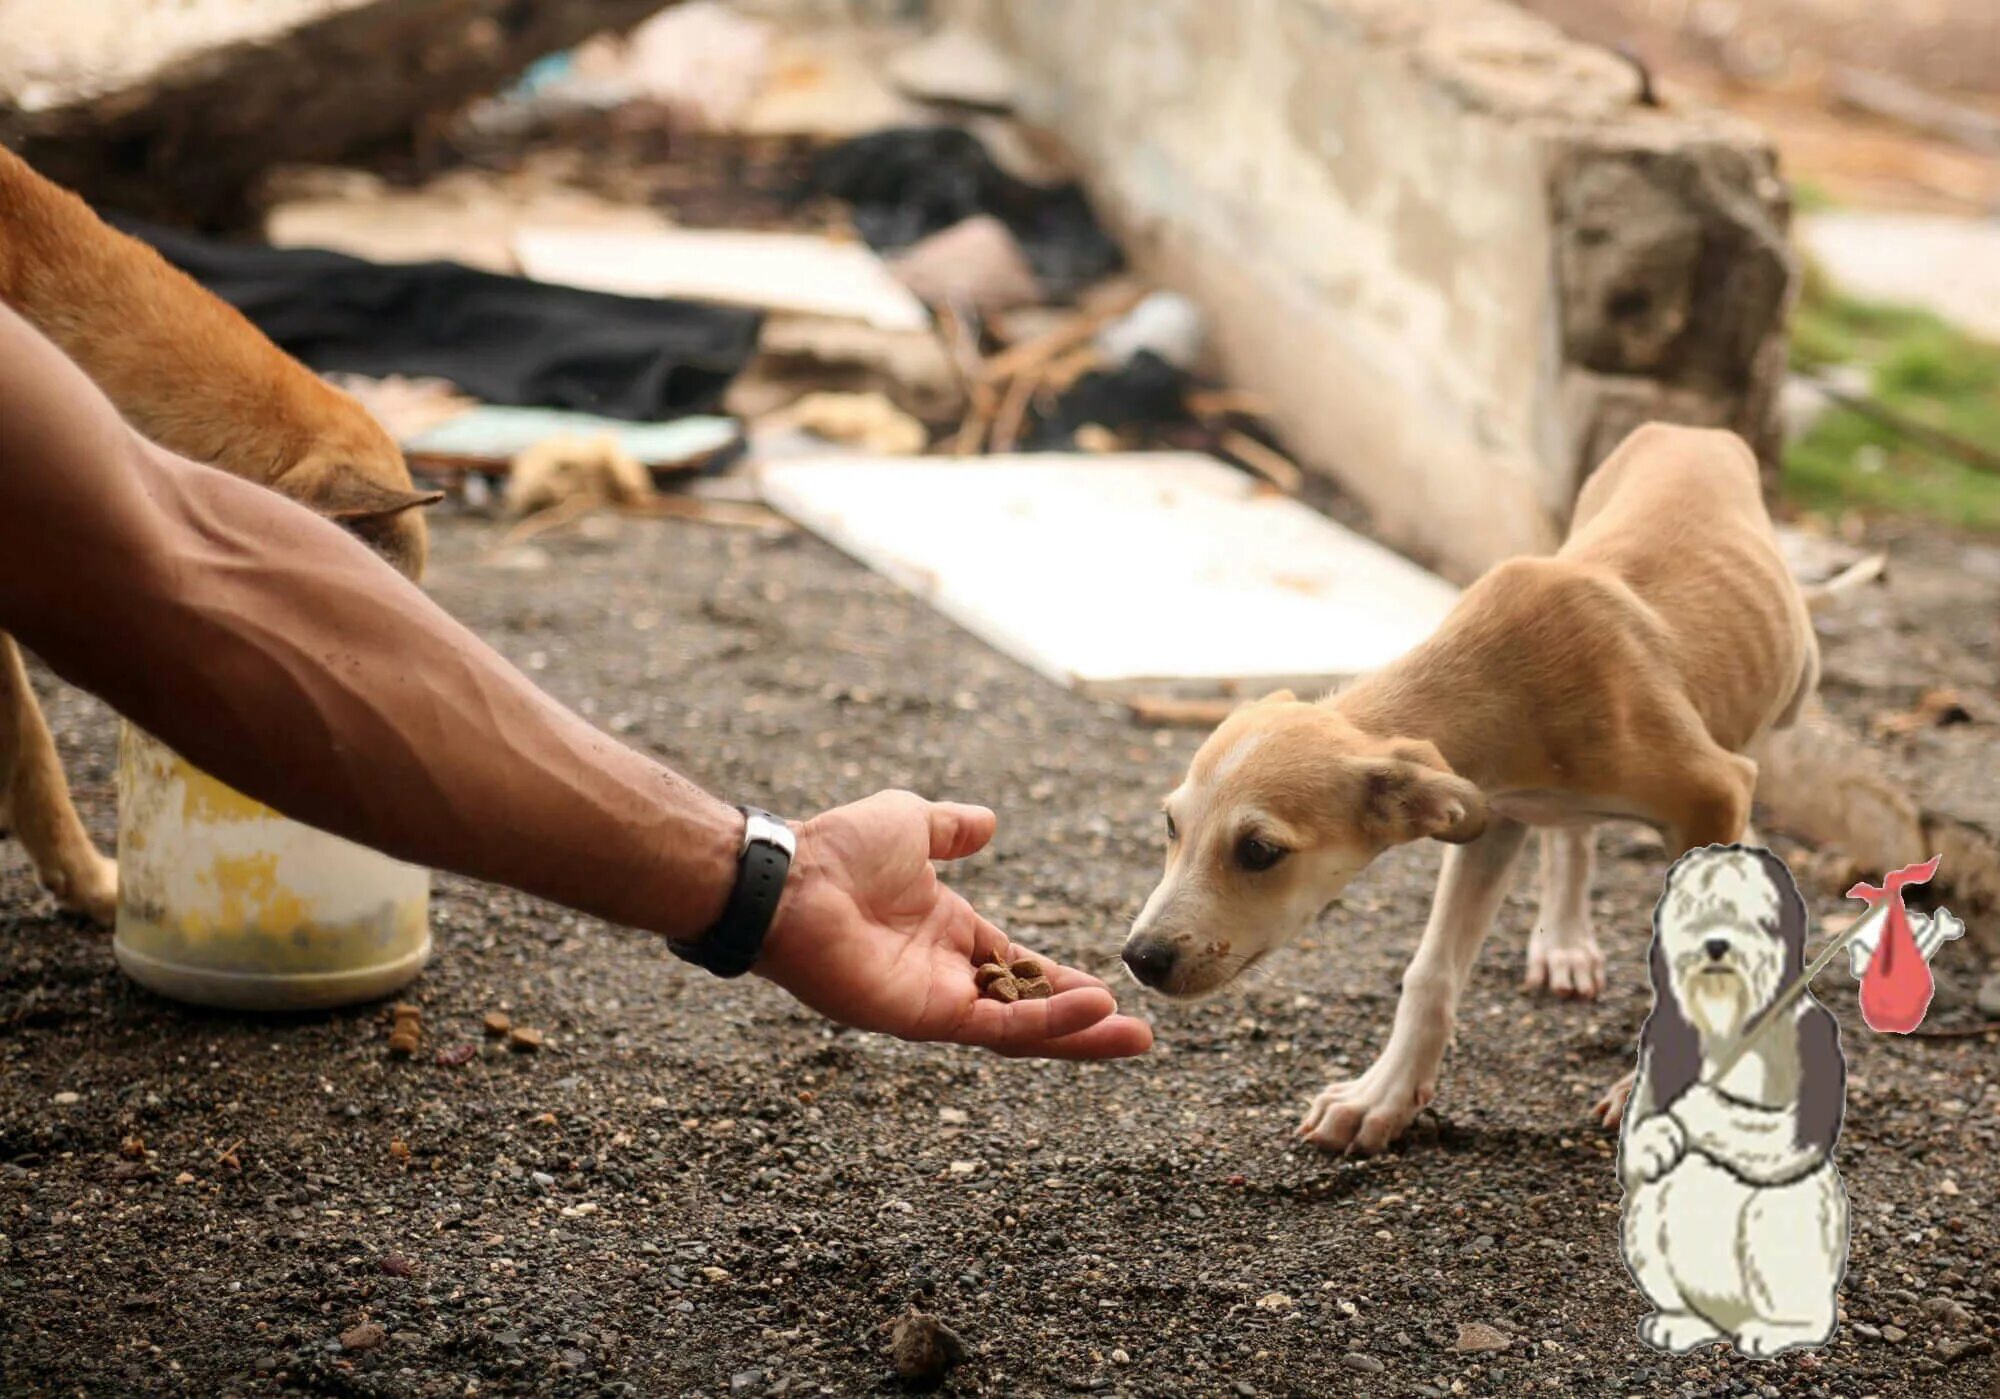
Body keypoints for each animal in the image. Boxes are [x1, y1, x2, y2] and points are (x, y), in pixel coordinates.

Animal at [1120, 425, 1824, 1159]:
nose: (1139, 959)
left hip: (1790, 688)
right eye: (1171, 826)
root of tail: (1691, 430)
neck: (1505, 679)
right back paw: (1566, 943)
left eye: (1259, 851)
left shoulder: (1713, 790)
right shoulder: (1489, 818)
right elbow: (1429, 975)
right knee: (1573, 837)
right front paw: (1382, 1097)